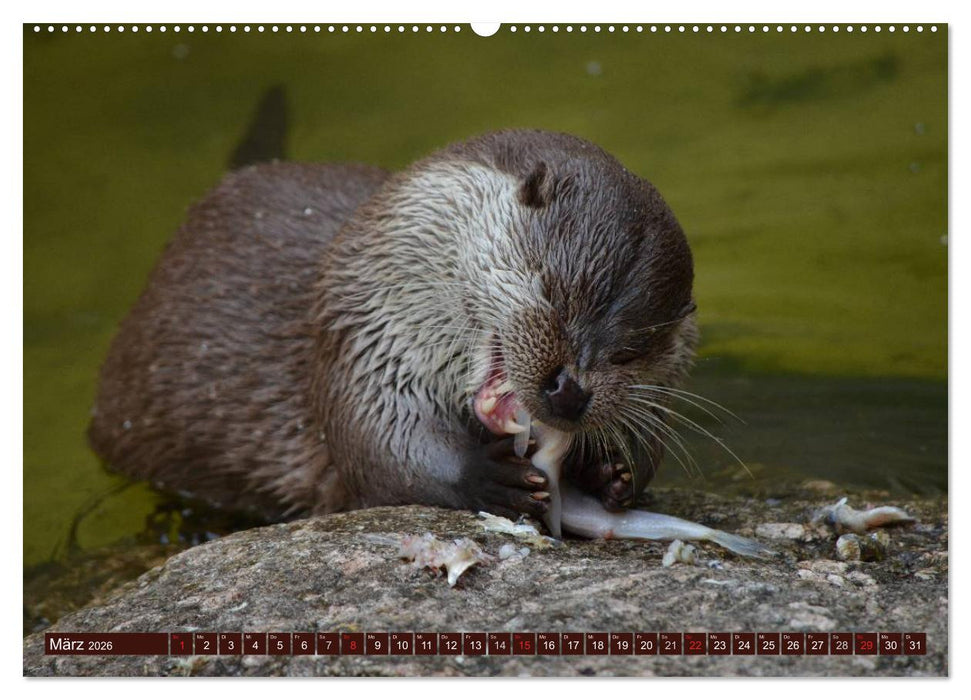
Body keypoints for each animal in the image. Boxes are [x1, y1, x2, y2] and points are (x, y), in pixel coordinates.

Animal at [88, 130, 767, 555]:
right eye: (553, 292)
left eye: (633, 349)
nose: (570, 392)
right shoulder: (366, 337)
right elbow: (380, 448)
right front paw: (490, 476)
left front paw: (613, 472)